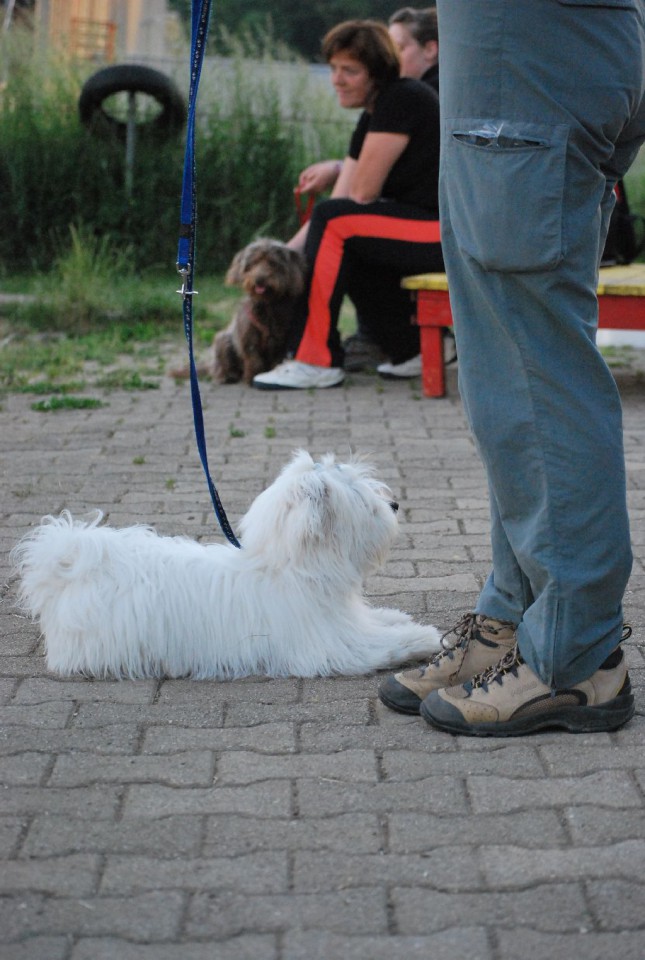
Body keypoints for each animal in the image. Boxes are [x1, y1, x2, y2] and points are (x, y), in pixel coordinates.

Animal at [12, 448, 440, 680]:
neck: (290, 568)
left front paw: (399, 618)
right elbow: (386, 646)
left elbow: (379, 622)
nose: (394, 504)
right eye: (364, 502)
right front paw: (425, 637)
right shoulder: (335, 647)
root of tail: (71, 567)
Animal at [209, 238, 304, 384]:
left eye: (273, 263)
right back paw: (227, 375)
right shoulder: (249, 338)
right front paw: (252, 377)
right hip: (223, 340)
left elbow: (276, 359)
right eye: (253, 263)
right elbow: (254, 359)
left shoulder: (280, 341)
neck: (266, 305)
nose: (259, 279)